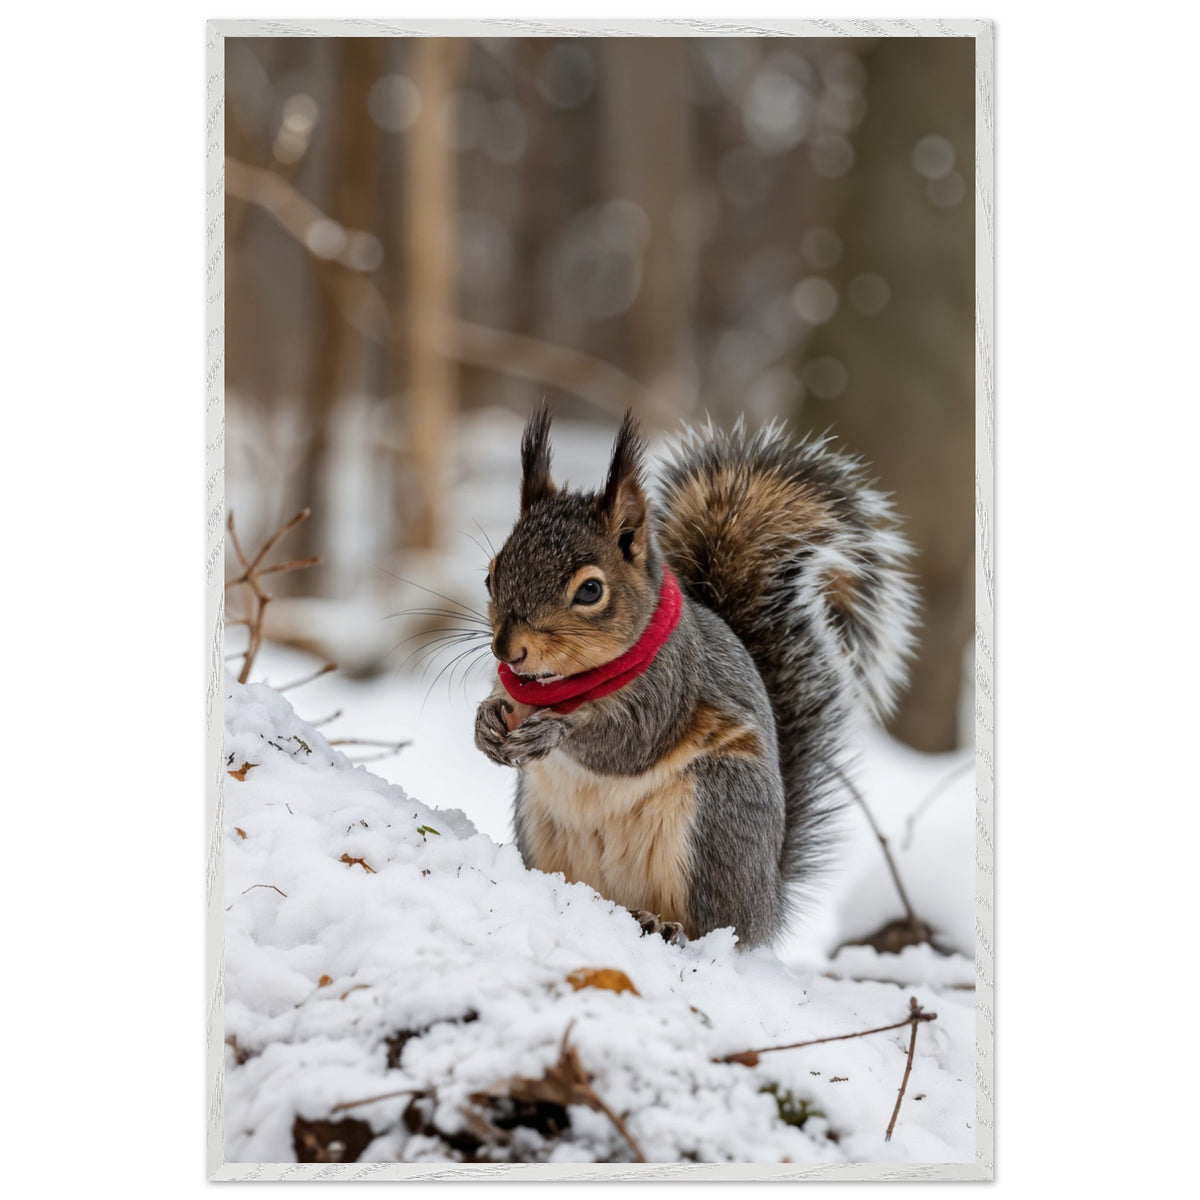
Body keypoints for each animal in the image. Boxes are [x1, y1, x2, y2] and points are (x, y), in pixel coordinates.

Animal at [472, 408, 912, 950]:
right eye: (491, 575)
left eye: (591, 590)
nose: (507, 651)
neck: (561, 684)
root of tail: (767, 903)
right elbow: (501, 700)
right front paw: (485, 723)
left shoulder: (673, 686)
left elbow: (628, 741)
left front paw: (556, 730)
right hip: (541, 824)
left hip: (714, 816)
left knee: (712, 926)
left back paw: (667, 925)